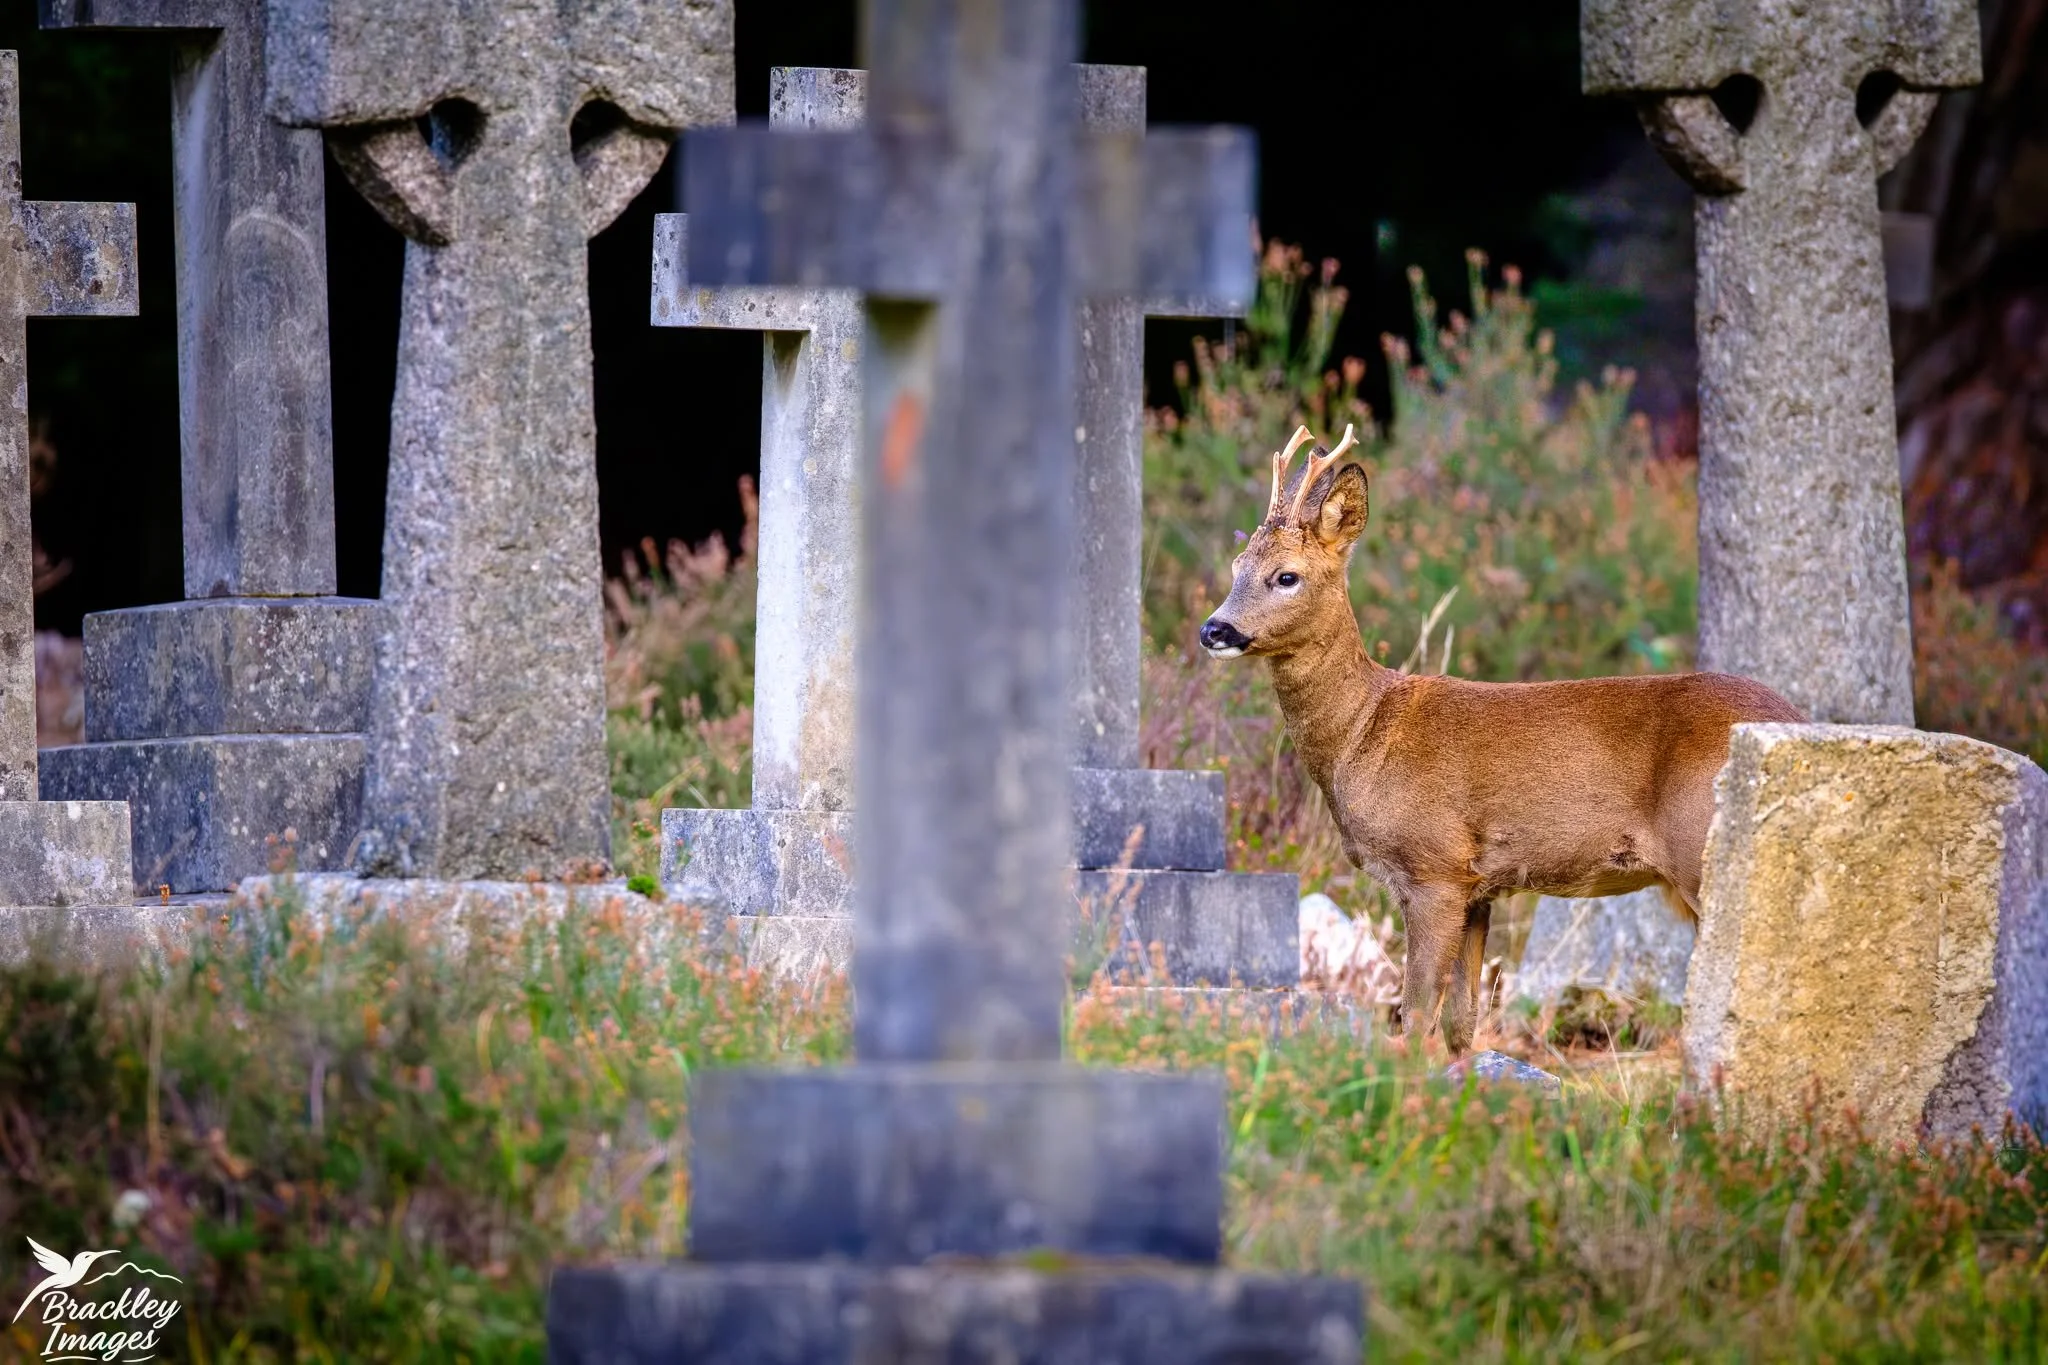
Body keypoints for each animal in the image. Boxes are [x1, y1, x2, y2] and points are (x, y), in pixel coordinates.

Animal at [1198, 424, 1804, 1056]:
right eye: (1237, 565)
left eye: (1286, 576)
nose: (1214, 629)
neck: (1362, 733)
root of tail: (1795, 719)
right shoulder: (1479, 887)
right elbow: (1462, 1021)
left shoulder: (1434, 866)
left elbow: (1416, 1011)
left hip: (1700, 850)